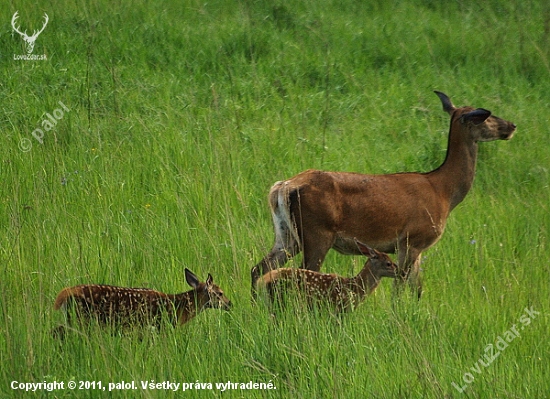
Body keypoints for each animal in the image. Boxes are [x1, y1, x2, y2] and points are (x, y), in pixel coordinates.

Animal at [54, 268, 231, 334]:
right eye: (220, 293)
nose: (230, 303)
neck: (178, 306)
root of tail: (65, 293)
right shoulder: (160, 325)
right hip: (82, 317)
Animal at [252, 91, 520, 296]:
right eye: (487, 118)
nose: (512, 126)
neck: (443, 191)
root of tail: (283, 186)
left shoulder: (414, 248)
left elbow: (417, 289)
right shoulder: (412, 239)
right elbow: (400, 288)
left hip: (286, 234)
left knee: (258, 268)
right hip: (317, 233)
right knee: (303, 270)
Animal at [256, 239, 398, 314]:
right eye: (388, 263)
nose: (400, 271)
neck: (354, 287)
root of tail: (262, 281)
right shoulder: (340, 308)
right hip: (280, 298)